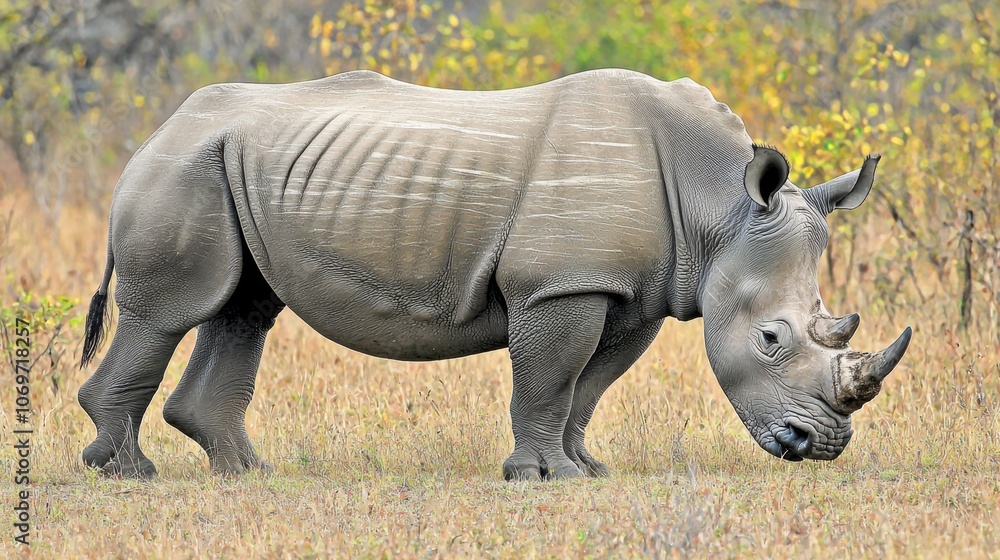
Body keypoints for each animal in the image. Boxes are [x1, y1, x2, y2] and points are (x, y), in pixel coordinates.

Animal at [78, 69, 911, 479]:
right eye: (770, 339)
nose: (819, 446)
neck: (719, 204)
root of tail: (162, 127)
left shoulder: (627, 291)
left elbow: (588, 386)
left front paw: (587, 469)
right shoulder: (563, 283)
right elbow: (549, 377)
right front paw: (540, 477)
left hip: (226, 164)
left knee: (243, 309)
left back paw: (247, 473)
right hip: (184, 165)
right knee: (170, 312)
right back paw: (126, 472)